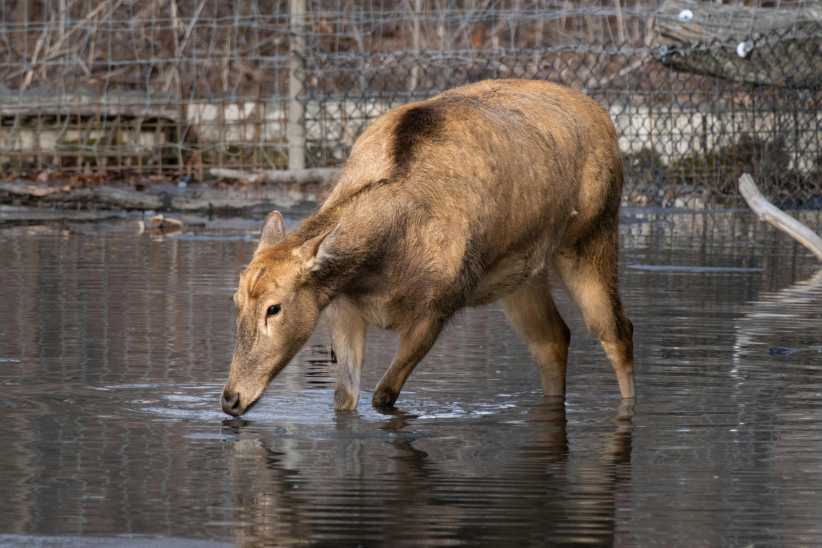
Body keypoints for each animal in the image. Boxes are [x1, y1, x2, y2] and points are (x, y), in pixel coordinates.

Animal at [221, 79, 634, 417]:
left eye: (274, 308)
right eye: (236, 301)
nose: (230, 398)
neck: (381, 263)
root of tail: (605, 117)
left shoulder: (440, 306)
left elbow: (383, 396)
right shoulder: (342, 306)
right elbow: (345, 401)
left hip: (590, 235)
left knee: (616, 331)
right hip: (520, 275)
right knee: (553, 339)